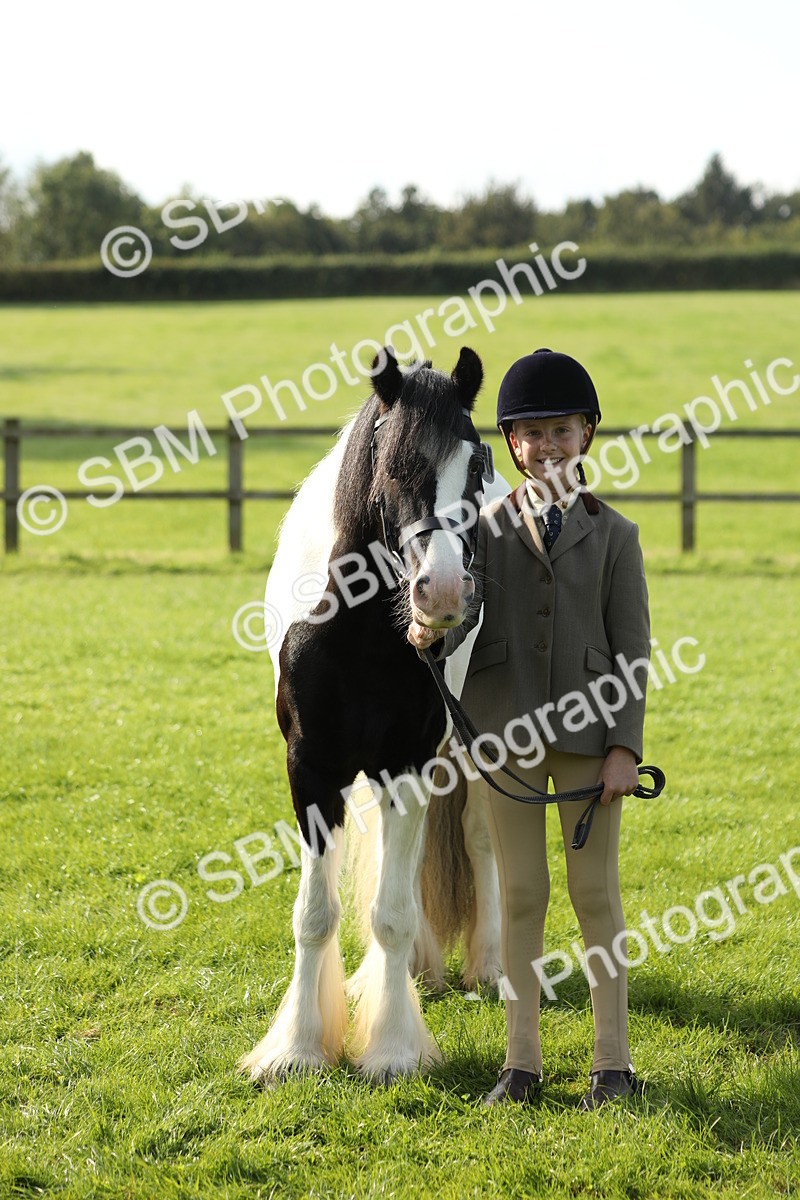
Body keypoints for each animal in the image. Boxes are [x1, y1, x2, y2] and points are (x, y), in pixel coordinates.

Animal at [240, 346, 508, 1084]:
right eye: (393, 462)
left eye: (476, 462)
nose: (442, 592)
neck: (356, 623)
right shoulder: (312, 768)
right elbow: (316, 913)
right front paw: (298, 1049)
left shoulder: (410, 763)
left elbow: (390, 912)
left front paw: (391, 1050)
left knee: (481, 840)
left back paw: (488, 964)